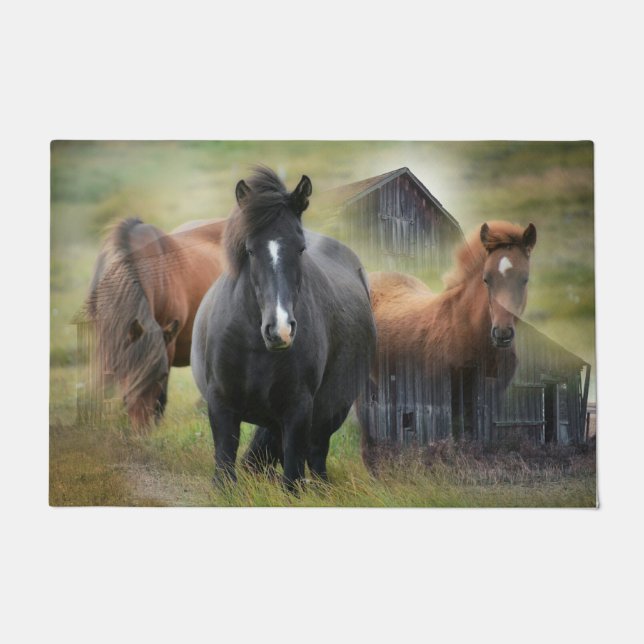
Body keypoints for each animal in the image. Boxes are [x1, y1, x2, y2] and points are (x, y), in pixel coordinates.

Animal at [191, 167, 376, 490]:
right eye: (250, 250)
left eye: (300, 248)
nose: (280, 330)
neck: (255, 346)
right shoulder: (221, 404)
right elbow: (225, 466)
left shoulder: (298, 409)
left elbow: (292, 476)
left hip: (329, 412)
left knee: (316, 454)